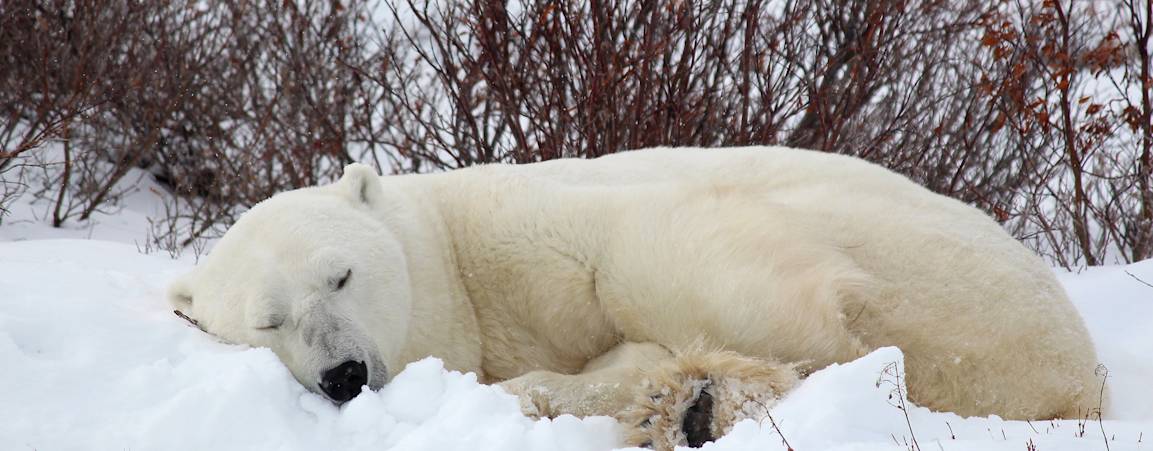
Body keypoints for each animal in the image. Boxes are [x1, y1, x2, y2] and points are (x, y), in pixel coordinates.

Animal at [167, 146, 1101, 450]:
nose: (344, 374)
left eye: (341, 274)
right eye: (267, 320)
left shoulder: (526, 232)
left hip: (934, 277)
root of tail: (1079, 376)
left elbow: (631, 259)